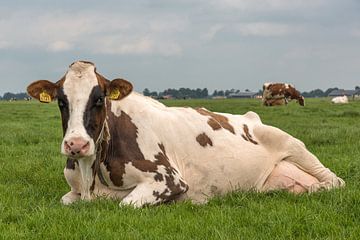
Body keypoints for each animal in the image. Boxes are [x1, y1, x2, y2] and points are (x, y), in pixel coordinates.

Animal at [26, 61, 344, 207]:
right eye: (61, 101)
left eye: (99, 99)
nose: (76, 145)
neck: (90, 175)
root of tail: (251, 116)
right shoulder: (74, 191)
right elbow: (65, 200)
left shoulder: (167, 179)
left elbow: (125, 203)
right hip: (266, 185)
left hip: (294, 145)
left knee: (334, 181)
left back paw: (318, 187)